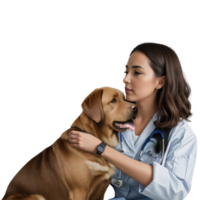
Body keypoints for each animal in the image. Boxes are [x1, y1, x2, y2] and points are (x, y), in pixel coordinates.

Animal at [3, 86, 137, 200]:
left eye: (125, 99)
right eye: (113, 100)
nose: (136, 108)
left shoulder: (101, 191)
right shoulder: (79, 190)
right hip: (36, 196)